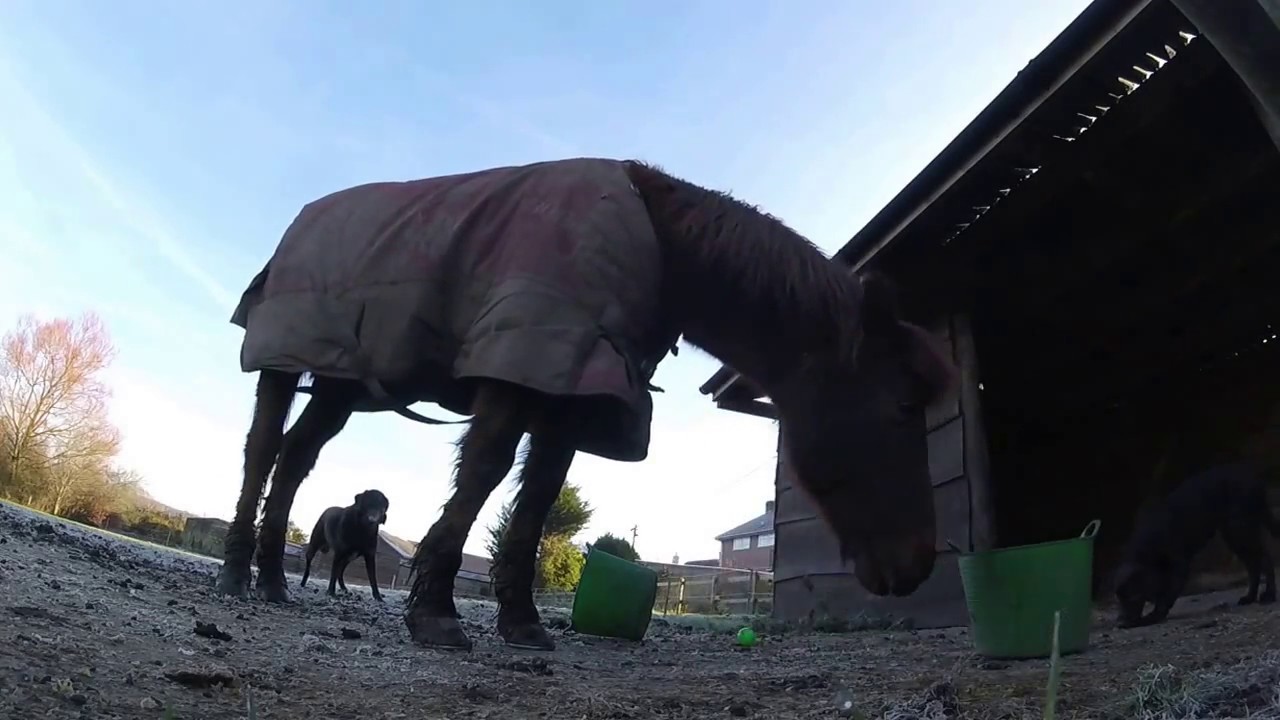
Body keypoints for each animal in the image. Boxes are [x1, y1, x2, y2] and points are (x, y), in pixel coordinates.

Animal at [215, 158, 957, 652]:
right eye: (899, 407)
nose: (920, 563)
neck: (656, 242)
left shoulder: (570, 395)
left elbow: (537, 502)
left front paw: (520, 621)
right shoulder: (518, 371)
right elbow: (482, 477)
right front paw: (435, 612)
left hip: (339, 384)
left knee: (295, 458)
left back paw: (273, 579)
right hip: (282, 362)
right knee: (261, 453)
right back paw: (234, 574)